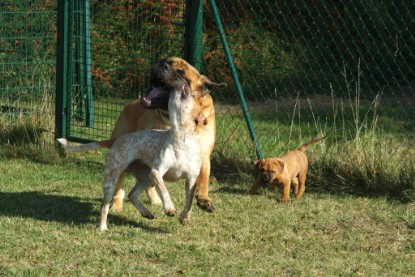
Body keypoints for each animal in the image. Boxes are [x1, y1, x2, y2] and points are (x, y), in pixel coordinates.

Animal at [59, 80, 203, 231]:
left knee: (132, 194)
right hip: (113, 179)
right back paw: (103, 228)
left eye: (193, 95)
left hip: (146, 178)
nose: (181, 82)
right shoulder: (157, 172)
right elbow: (164, 191)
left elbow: (189, 202)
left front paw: (184, 218)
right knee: (105, 205)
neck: (181, 136)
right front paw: (169, 208)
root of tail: (115, 140)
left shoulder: (191, 179)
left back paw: (146, 213)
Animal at [109, 56, 226, 211]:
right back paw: (117, 204)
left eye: (182, 73)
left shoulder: (203, 153)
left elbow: (204, 177)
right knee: (120, 184)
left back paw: (154, 200)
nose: (162, 65)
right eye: (163, 61)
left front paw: (204, 198)